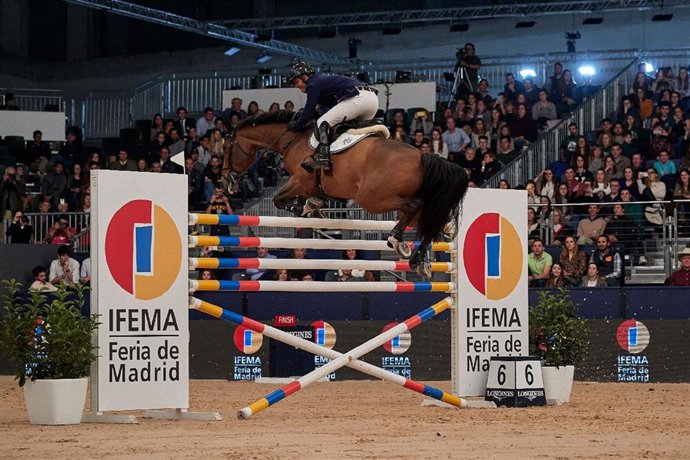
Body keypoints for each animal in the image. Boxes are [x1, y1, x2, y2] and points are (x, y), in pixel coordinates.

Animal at [224, 110, 468, 276]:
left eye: (227, 149)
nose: (227, 181)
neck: (292, 139)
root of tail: (422, 156)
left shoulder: (300, 181)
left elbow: (278, 200)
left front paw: (305, 209)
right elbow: (314, 199)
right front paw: (314, 206)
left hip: (372, 198)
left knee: (414, 206)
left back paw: (396, 240)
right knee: (428, 221)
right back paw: (420, 257)